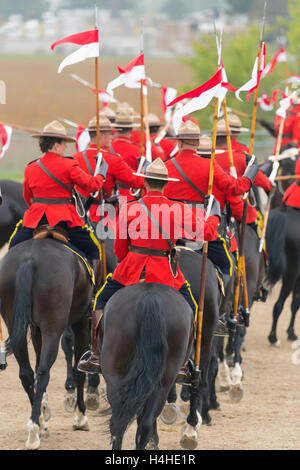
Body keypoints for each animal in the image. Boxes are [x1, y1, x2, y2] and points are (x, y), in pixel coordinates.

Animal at [0, 241, 94, 450]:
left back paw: (40, 424)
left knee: (26, 372)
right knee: (43, 371)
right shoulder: (82, 322)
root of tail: (29, 258)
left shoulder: (35, 328)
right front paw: (80, 416)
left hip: (13, 322)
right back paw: (34, 430)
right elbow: (79, 369)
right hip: (53, 325)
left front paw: (43, 404)